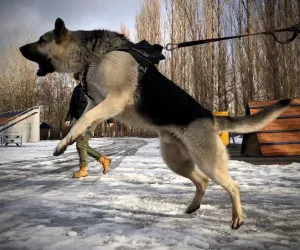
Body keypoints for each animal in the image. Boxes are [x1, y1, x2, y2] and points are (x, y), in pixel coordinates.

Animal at [19, 17, 290, 229]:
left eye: (41, 40)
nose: (20, 48)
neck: (97, 55)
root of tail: (211, 117)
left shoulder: (113, 101)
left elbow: (84, 119)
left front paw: (63, 143)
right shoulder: (95, 102)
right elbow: (85, 119)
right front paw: (68, 141)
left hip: (208, 162)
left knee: (233, 186)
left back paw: (237, 218)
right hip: (176, 161)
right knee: (202, 181)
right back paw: (193, 207)